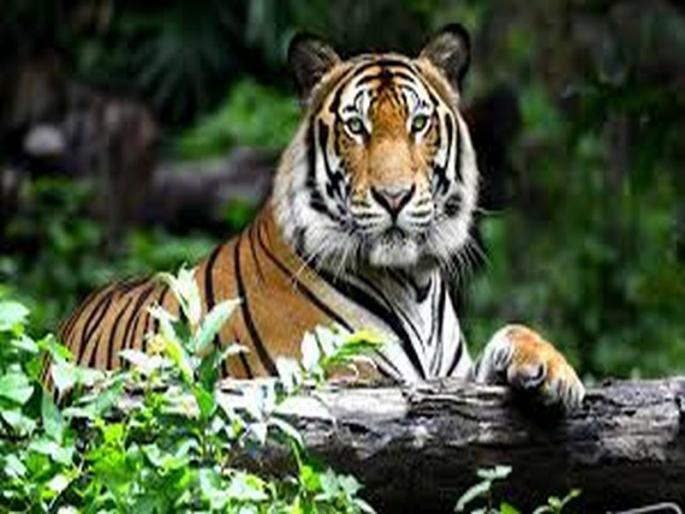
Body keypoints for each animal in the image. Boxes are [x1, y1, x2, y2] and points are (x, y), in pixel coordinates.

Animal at [57, 24, 585, 409]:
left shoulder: (450, 375)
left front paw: (555, 372)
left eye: (418, 124)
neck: (413, 282)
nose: (394, 197)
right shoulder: (342, 374)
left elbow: (511, 334)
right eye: (356, 126)